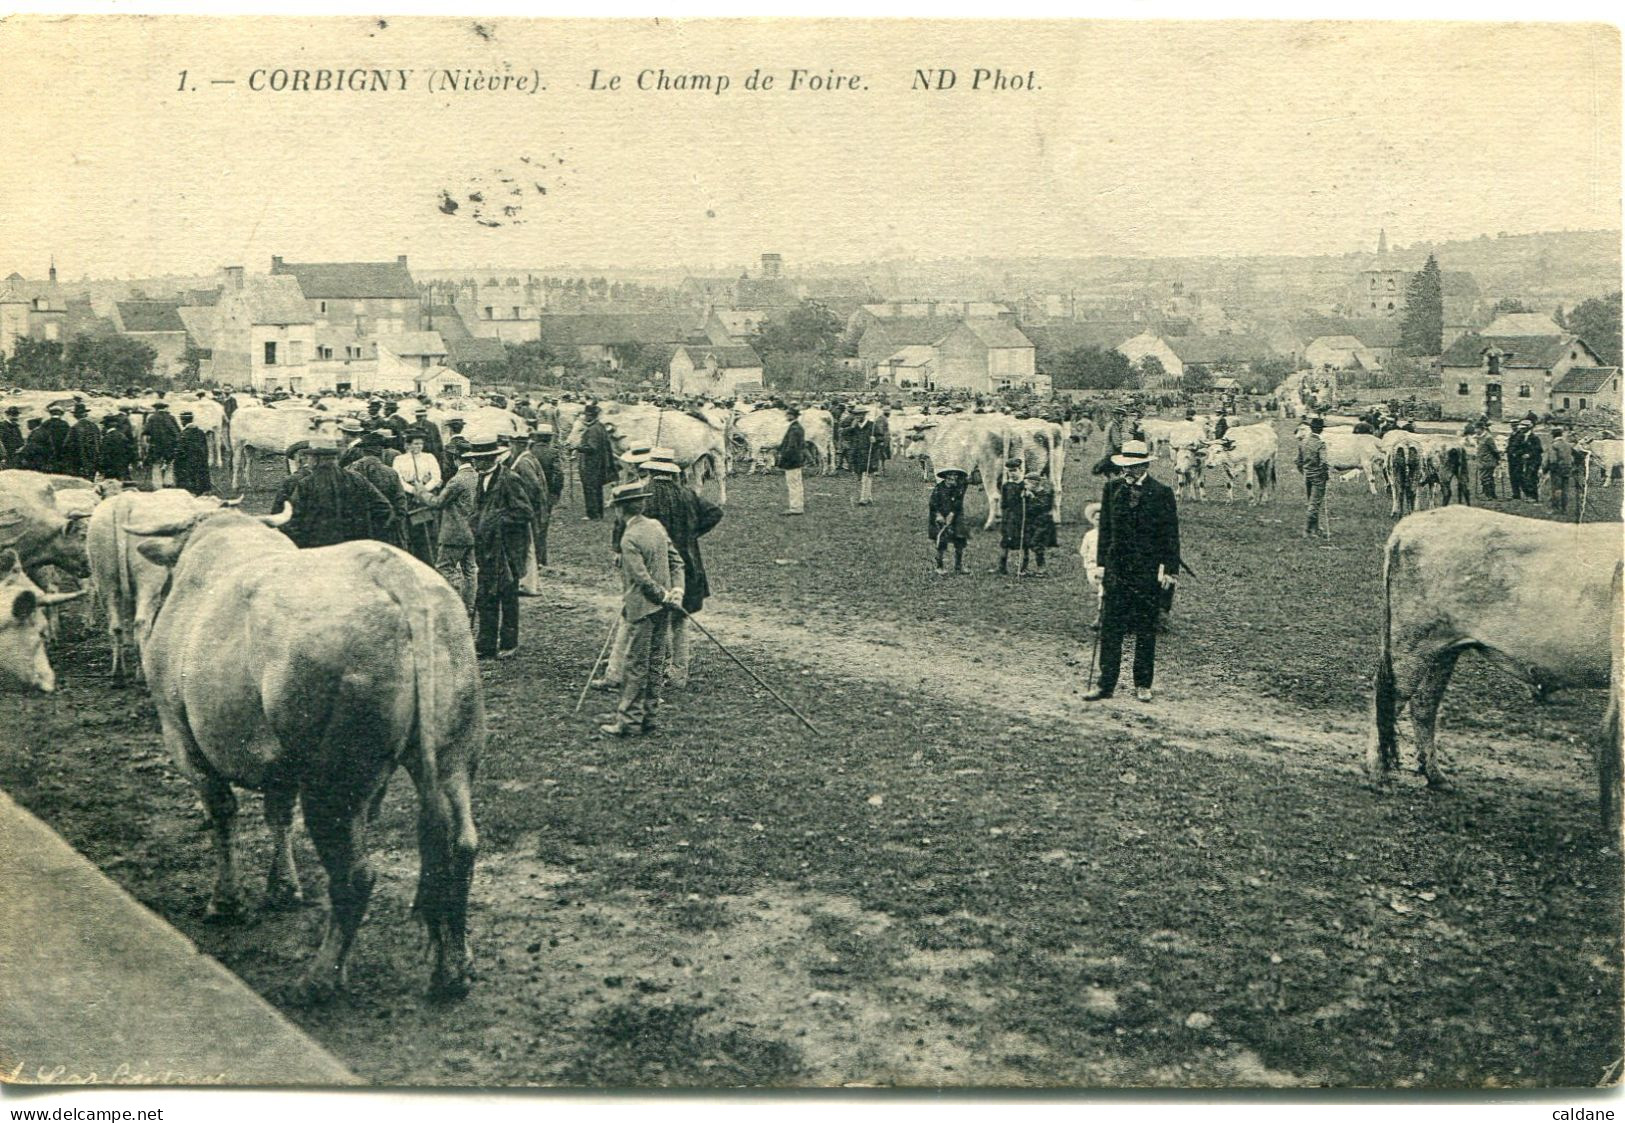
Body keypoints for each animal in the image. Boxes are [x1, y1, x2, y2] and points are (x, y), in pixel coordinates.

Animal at [126, 510, 481, 1001]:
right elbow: (278, 813)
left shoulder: (182, 737)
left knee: (355, 876)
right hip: (453, 752)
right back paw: (454, 970)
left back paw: (318, 980)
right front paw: (283, 888)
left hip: (334, 783)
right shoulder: (281, 765)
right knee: (459, 845)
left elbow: (223, 814)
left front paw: (226, 901)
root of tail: (391, 569)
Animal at [1365, 510, 1618, 825]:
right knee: (1387, 700)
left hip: (1444, 647)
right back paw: (1379, 778)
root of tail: (1406, 527)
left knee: (1424, 705)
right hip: (1412, 637)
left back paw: (1437, 777)